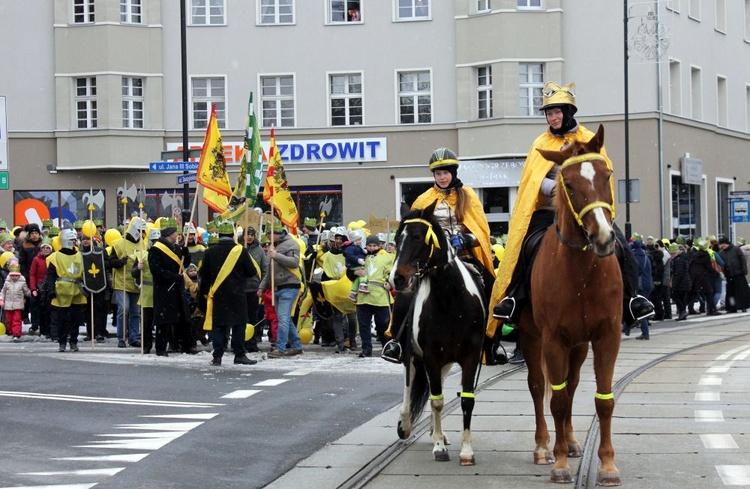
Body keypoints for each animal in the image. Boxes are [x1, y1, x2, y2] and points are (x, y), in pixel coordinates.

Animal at [388, 202, 488, 466]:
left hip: (445, 362)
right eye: (397, 238)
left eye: (417, 236)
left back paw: (437, 433)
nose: (397, 278)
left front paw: (466, 451)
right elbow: (437, 401)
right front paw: (439, 449)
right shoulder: (430, 356)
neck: (449, 300)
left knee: (437, 387)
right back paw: (407, 426)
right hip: (412, 355)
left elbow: (465, 400)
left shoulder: (469, 356)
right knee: (410, 385)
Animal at [520, 125, 624, 484]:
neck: (580, 274)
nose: (604, 238)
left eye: (607, 175)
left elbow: (602, 401)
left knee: (573, 382)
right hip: (533, 338)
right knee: (540, 387)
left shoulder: (606, 336)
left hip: (579, 345)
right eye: (569, 183)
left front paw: (607, 466)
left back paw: (573, 441)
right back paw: (542, 447)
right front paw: (561, 463)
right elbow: (558, 399)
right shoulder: (552, 339)